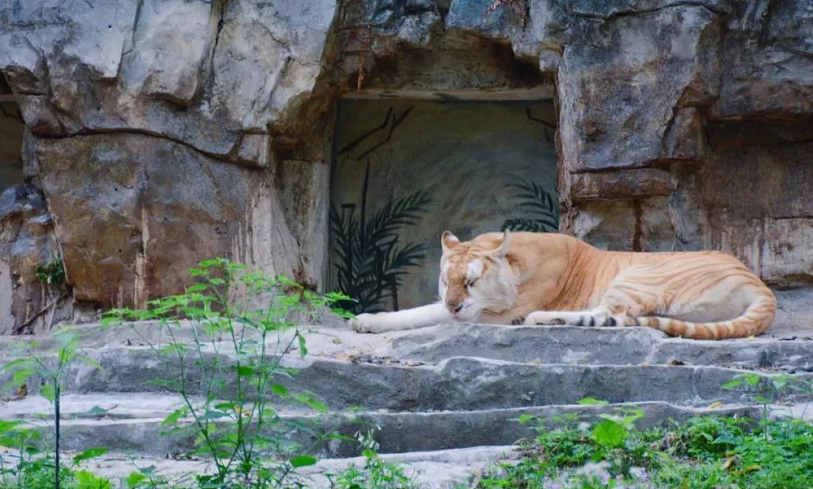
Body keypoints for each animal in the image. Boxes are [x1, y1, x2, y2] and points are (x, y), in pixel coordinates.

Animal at [348, 230, 772, 338]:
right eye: (444, 280)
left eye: (470, 282)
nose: (454, 303)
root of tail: (760, 284)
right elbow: (422, 309)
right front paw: (366, 319)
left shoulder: (490, 315)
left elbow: (430, 315)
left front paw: (365, 320)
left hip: (637, 276)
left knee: (607, 315)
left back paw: (540, 319)